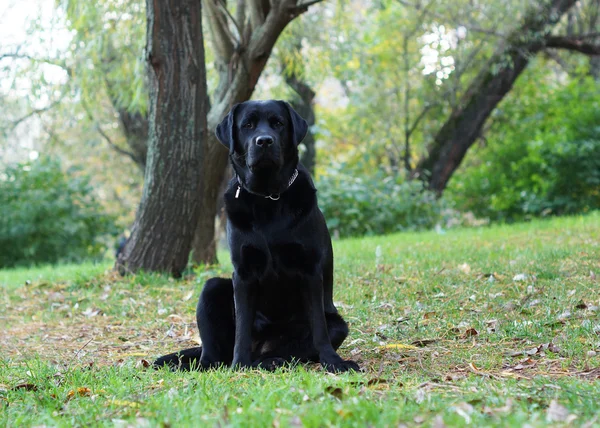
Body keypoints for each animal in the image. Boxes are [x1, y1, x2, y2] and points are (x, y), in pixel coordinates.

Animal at [155, 100, 358, 372]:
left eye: (278, 123)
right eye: (248, 125)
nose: (264, 141)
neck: (268, 197)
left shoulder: (310, 270)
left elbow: (319, 327)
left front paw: (333, 361)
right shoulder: (243, 274)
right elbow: (242, 327)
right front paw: (239, 364)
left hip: (337, 324)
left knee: (294, 347)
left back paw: (271, 360)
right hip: (213, 288)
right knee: (212, 356)